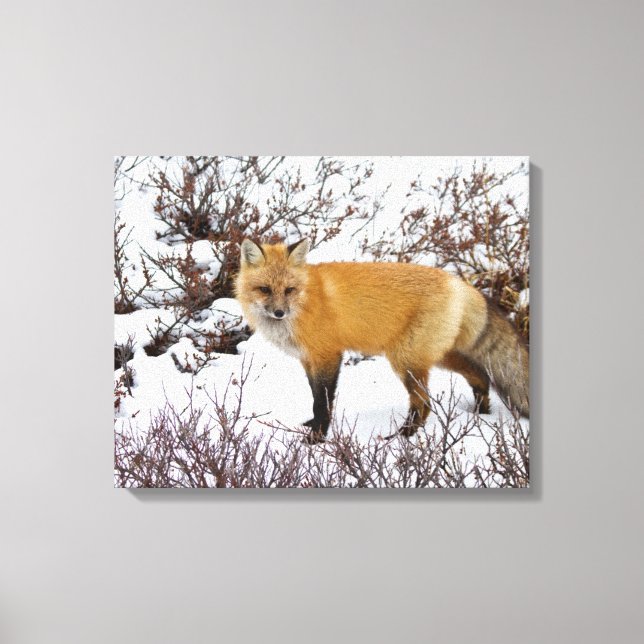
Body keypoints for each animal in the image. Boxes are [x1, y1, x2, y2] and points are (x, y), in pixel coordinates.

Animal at [235, 238, 529, 444]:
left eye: (289, 290)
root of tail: (460, 282)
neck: (304, 302)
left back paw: (403, 437)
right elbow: (314, 396)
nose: (279, 312)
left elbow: (323, 401)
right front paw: (312, 426)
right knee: (480, 374)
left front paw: (317, 438)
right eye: (264, 289)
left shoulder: (328, 355)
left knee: (424, 403)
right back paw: (481, 412)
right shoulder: (308, 360)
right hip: (436, 356)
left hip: (405, 360)